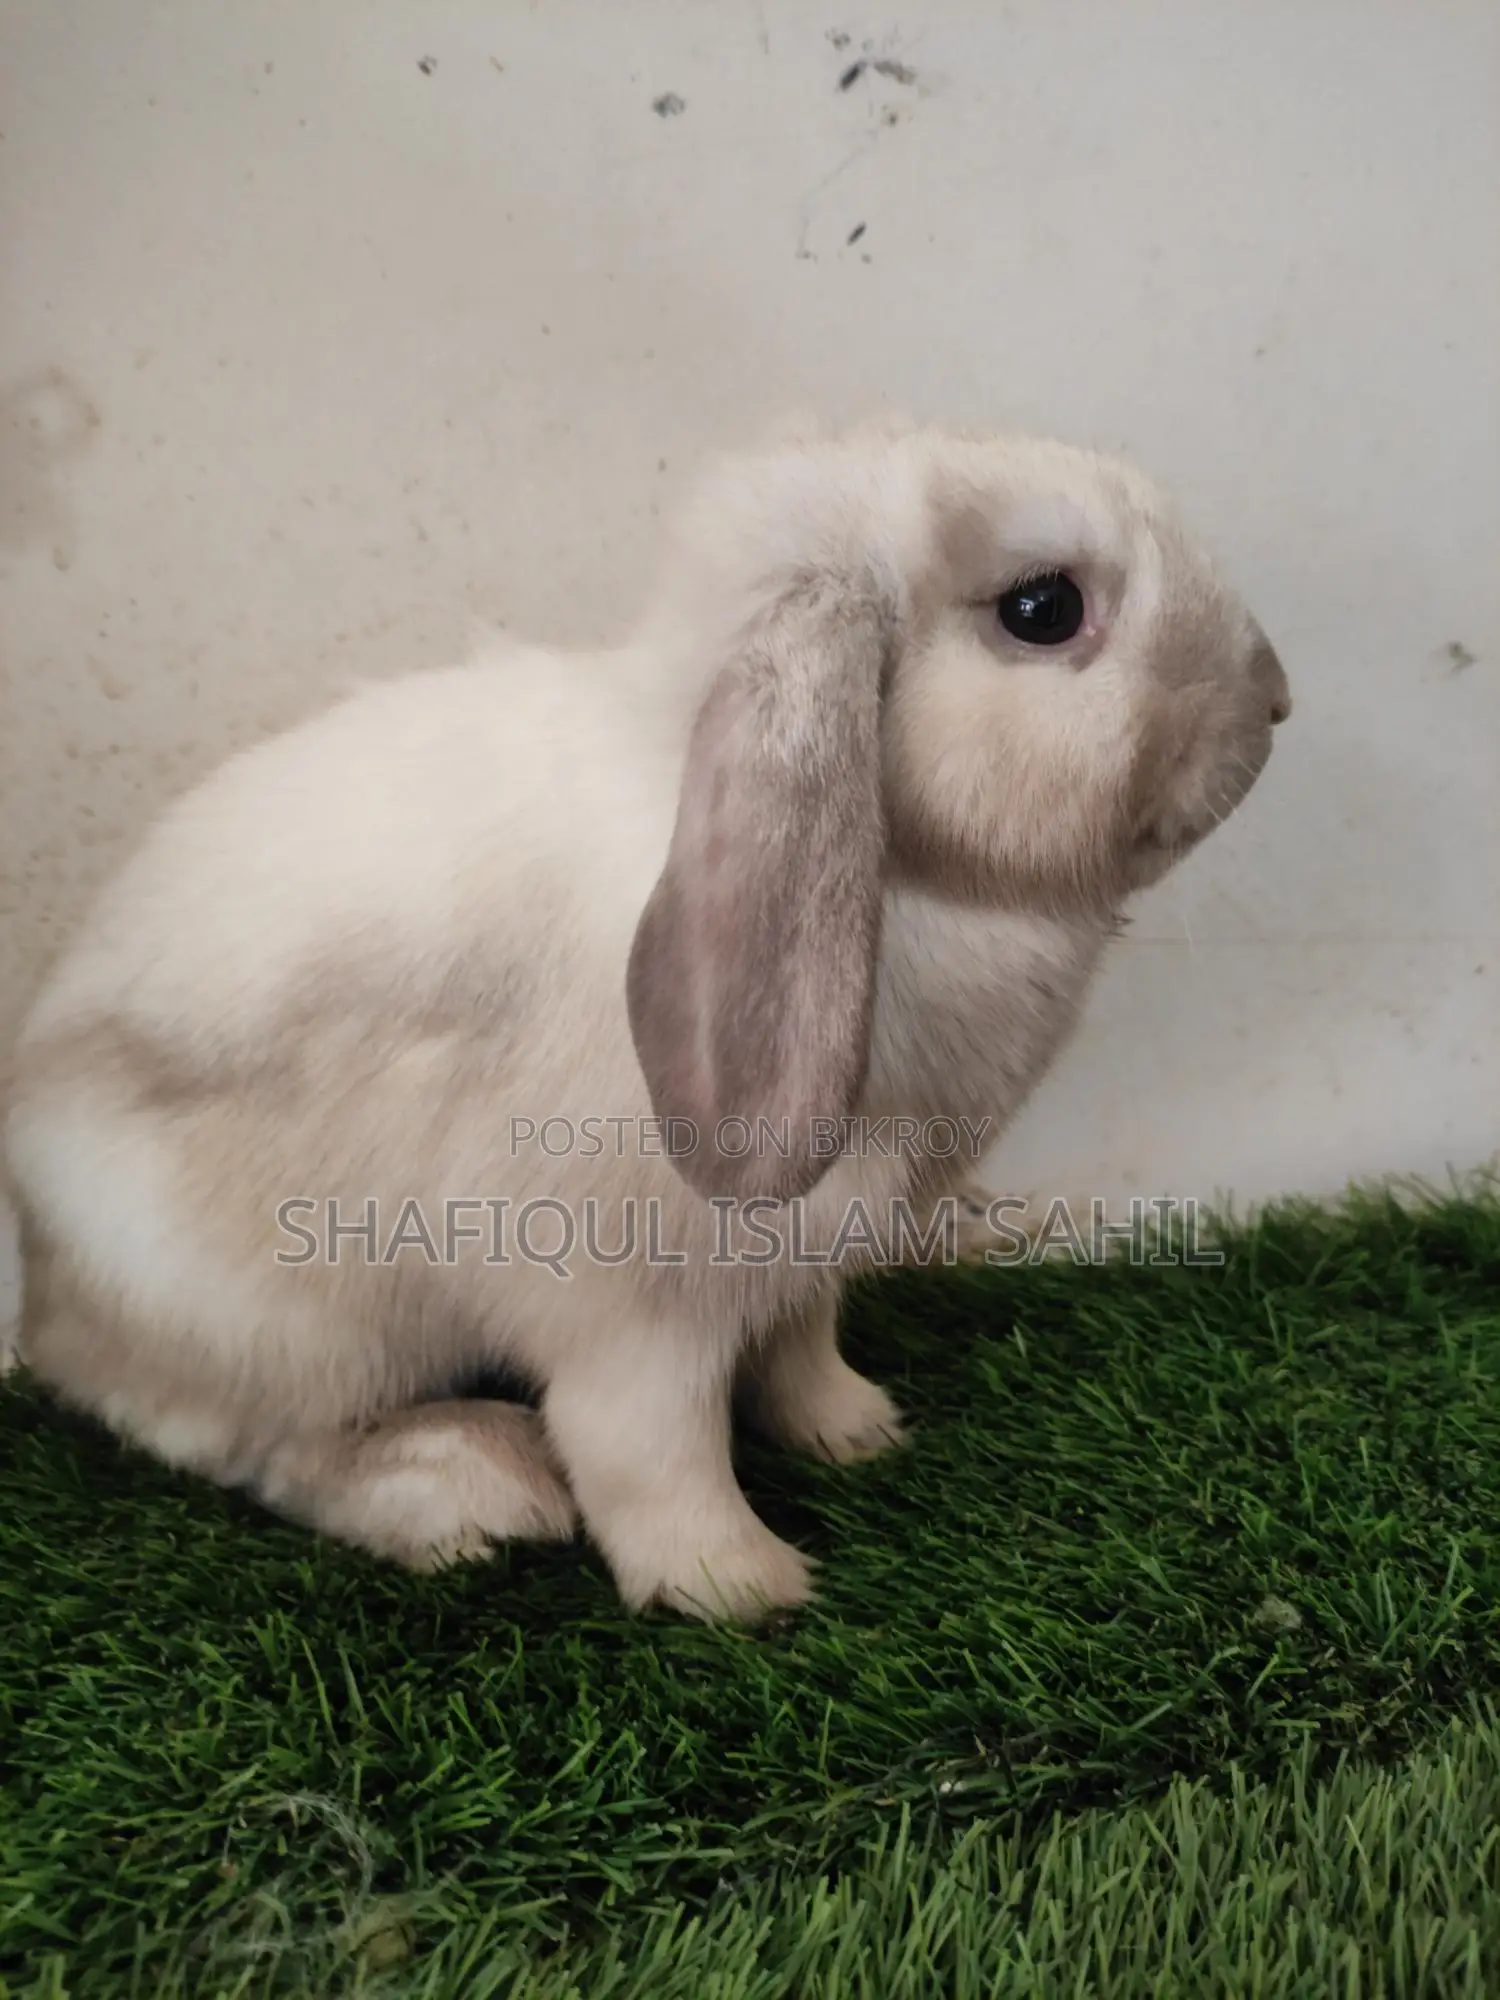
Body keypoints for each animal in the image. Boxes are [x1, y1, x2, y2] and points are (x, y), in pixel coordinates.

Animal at [3, 419, 1290, 1620]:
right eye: (1043, 607)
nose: (1275, 694)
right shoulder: (629, 1314)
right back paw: (469, 1482)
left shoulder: (804, 1257)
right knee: (263, 1447)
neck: (917, 883)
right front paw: (741, 1584)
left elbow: (799, 1349)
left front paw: (856, 1430)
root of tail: (51, 1297)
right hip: (289, 1321)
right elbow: (648, 1450)